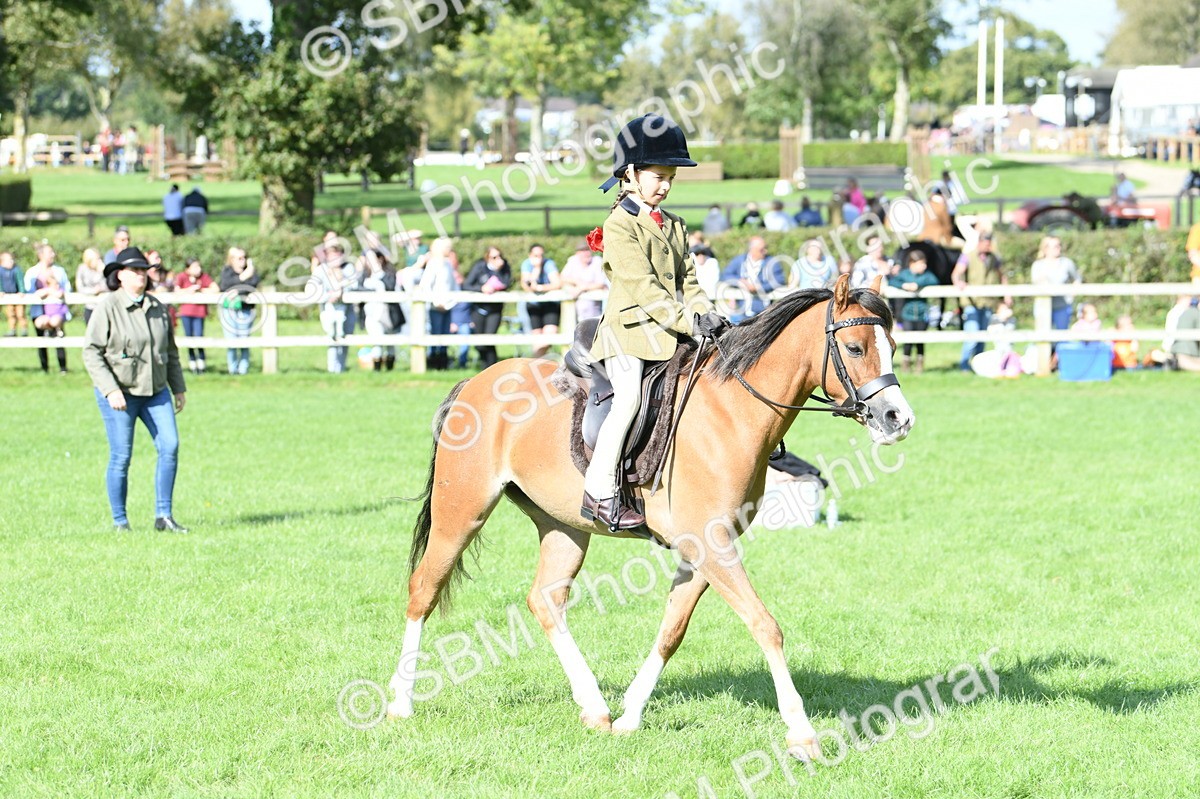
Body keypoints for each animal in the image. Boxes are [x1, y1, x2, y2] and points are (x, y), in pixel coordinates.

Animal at [387, 274, 914, 761]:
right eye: (854, 347)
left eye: (891, 347)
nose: (898, 419)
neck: (732, 411)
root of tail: (476, 382)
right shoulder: (711, 545)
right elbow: (765, 625)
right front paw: (802, 735)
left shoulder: (704, 550)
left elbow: (672, 631)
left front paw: (630, 716)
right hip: (462, 512)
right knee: (423, 590)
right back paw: (400, 702)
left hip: (565, 527)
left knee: (545, 600)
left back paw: (595, 707)